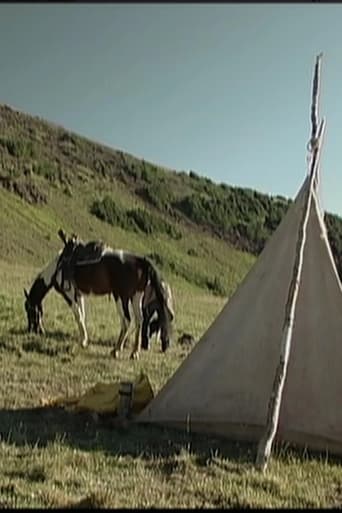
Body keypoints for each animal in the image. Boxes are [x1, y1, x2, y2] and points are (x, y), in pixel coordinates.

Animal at [23, 230, 172, 358]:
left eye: (29, 310)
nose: (31, 330)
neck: (57, 268)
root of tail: (141, 261)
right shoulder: (79, 295)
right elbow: (82, 315)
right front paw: (84, 339)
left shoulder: (69, 295)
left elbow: (78, 316)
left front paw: (83, 341)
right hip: (136, 297)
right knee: (139, 320)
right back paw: (134, 352)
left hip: (121, 297)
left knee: (126, 320)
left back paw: (116, 350)